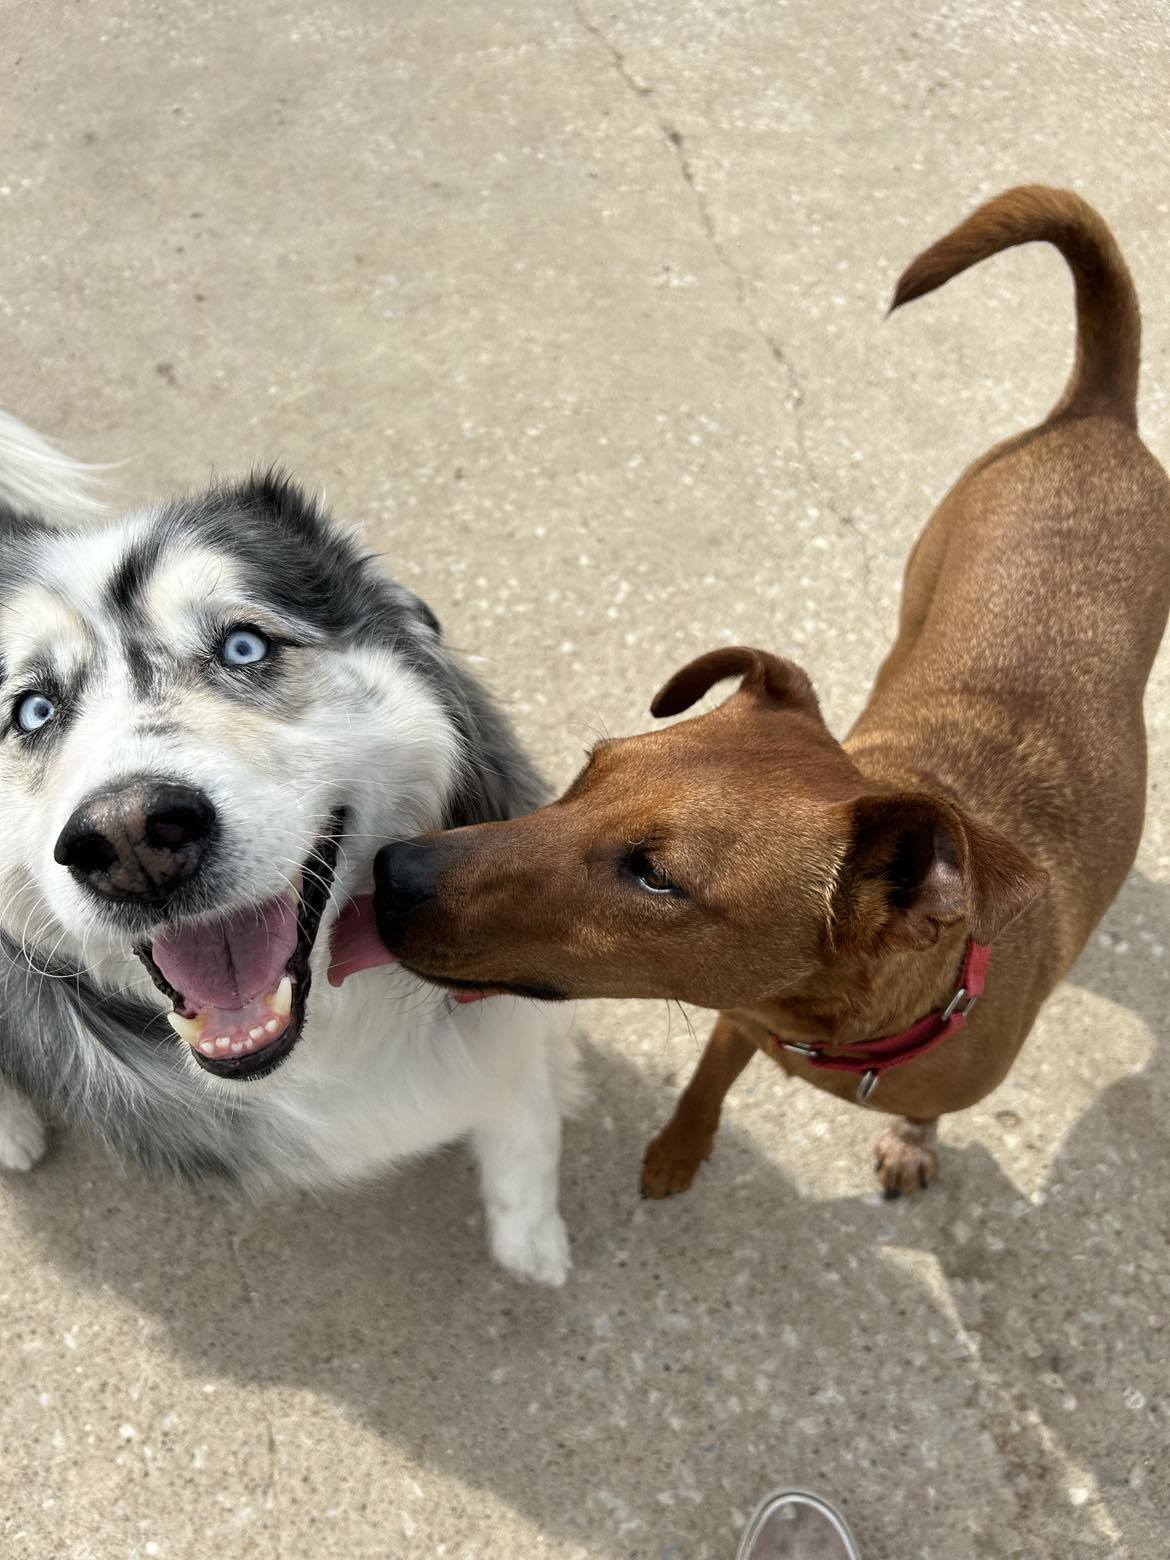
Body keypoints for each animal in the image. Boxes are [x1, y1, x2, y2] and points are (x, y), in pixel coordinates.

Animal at [347, 188, 1170, 1198]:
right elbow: (708, 1078)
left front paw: (911, 1137)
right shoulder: (737, 1018)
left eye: (656, 877)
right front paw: (678, 1147)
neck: (838, 1025)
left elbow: (923, 1112)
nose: (390, 871)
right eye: (588, 772)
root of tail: (1099, 415)